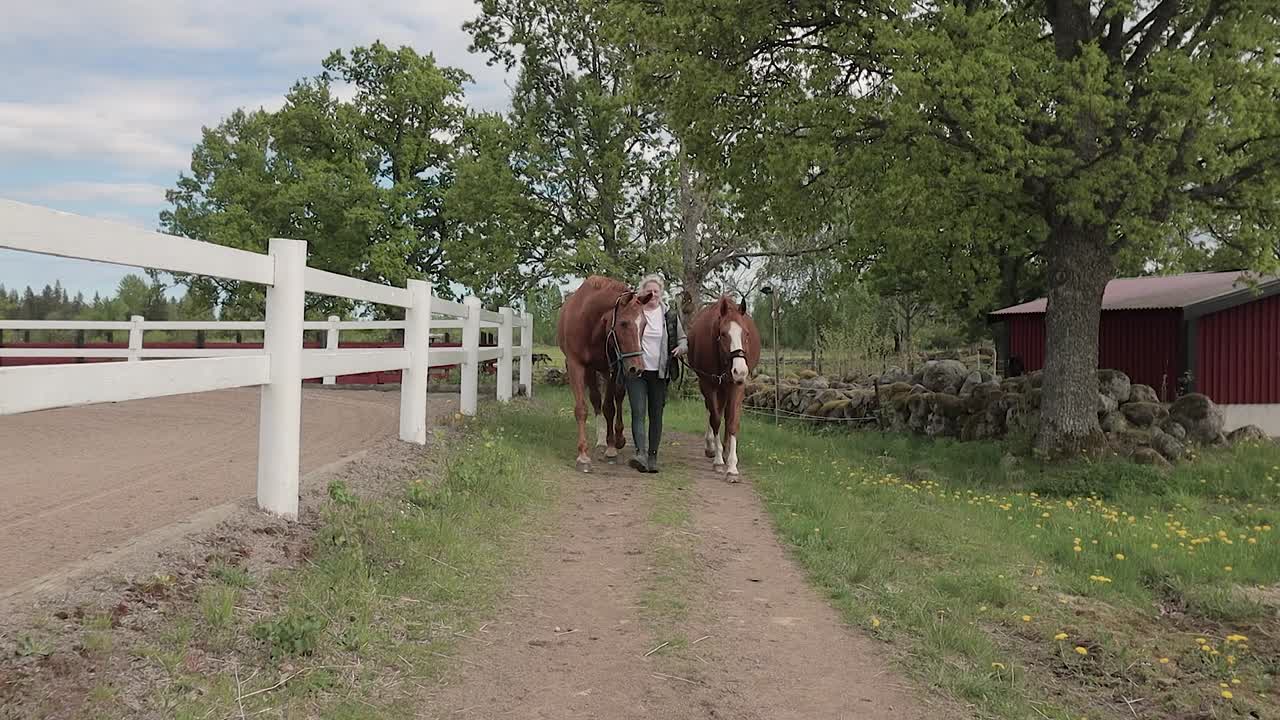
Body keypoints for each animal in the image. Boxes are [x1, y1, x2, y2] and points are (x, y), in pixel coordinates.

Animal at [557, 276, 655, 473]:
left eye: (644, 324)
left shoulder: (614, 367)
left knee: (617, 398)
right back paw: (601, 441)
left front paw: (611, 448)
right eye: (624, 323)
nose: (637, 368)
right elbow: (582, 409)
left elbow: (610, 407)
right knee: (596, 400)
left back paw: (617, 438)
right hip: (592, 370)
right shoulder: (576, 366)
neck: (590, 323)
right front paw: (583, 456)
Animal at [687, 296, 762, 480]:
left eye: (746, 333)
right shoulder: (708, 384)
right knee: (713, 412)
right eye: (723, 334)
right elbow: (715, 419)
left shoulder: (736, 386)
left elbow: (732, 421)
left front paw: (732, 466)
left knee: (725, 415)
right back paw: (712, 447)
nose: (740, 371)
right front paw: (719, 460)